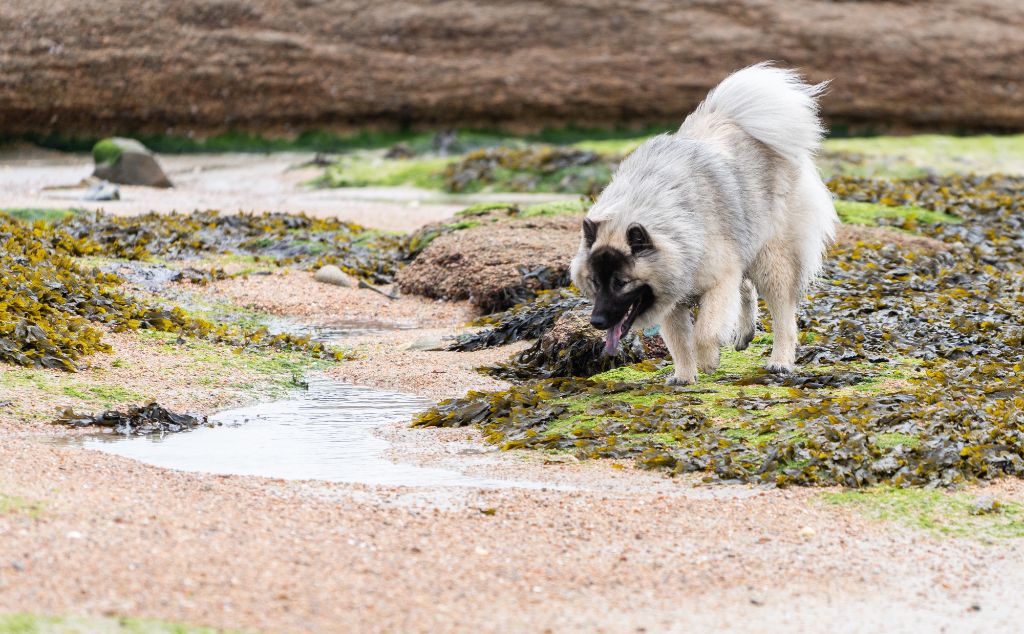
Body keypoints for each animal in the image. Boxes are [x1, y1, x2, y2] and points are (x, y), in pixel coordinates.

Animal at [573, 61, 835, 385]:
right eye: (595, 283)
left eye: (621, 283)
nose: (596, 321)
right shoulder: (672, 295)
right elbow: (678, 341)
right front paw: (685, 376)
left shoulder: (719, 281)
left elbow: (704, 333)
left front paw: (709, 360)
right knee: (747, 288)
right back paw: (744, 333)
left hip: (772, 259)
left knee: (783, 316)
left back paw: (780, 361)